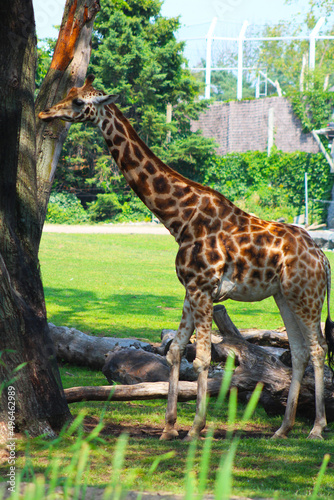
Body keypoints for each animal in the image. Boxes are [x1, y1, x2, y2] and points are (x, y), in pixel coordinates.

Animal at [39, 75, 334, 442]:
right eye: (69, 94)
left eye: (79, 102)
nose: (45, 113)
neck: (179, 220)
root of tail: (322, 258)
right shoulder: (190, 289)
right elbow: (177, 349)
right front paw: (169, 427)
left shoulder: (203, 288)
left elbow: (204, 356)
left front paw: (195, 428)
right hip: (284, 295)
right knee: (298, 351)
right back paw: (283, 428)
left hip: (307, 294)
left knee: (318, 348)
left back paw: (317, 427)